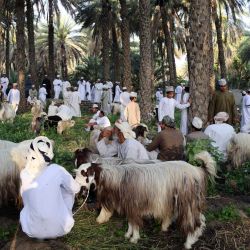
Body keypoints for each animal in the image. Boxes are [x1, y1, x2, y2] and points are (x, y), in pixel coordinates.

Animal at [74, 151, 217, 249]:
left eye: (84, 173)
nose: (75, 185)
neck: (116, 178)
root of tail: (198, 170)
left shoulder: (133, 205)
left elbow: (135, 223)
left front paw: (134, 239)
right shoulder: (129, 205)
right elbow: (131, 222)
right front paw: (128, 235)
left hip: (187, 201)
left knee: (195, 221)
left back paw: (188, 242)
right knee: (199, 218)